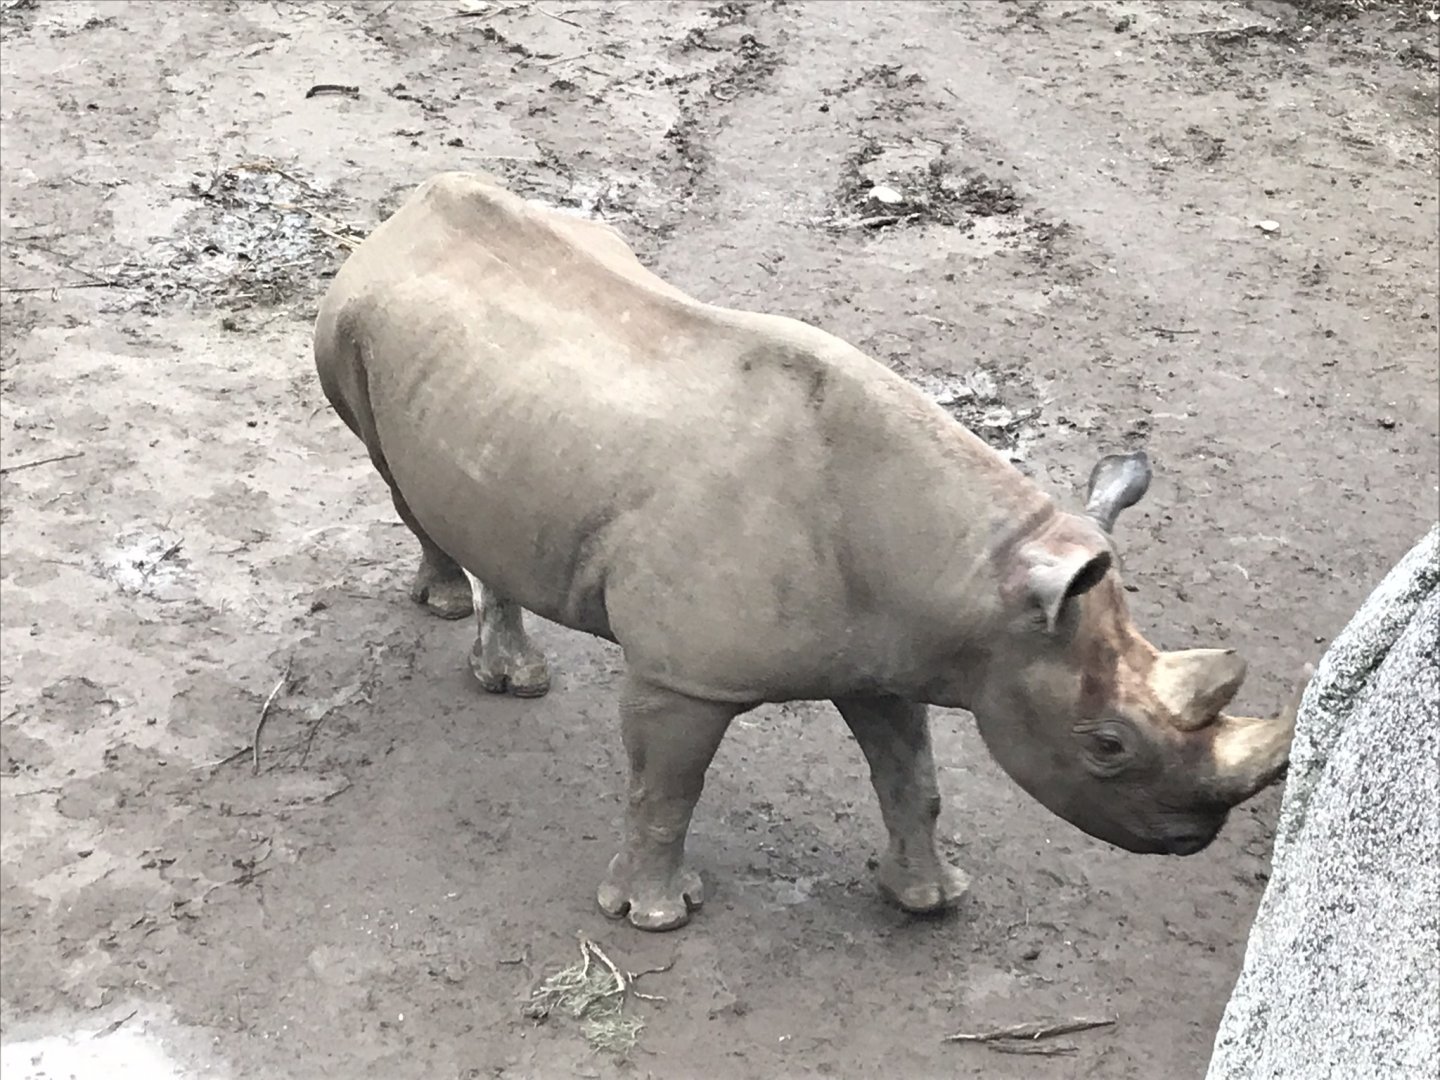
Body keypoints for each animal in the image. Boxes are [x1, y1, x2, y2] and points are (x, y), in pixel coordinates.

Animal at [313, 172, 1294, 932]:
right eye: (1107, 747)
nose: (1190, 838)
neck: (981, 580)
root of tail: (409, 212)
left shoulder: (892, 652)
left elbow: (912, 778)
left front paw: (929, 901)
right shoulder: (685, 675)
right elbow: (666, 791)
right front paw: (654, 918)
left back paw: (506, 670)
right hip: (351, 322)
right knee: (394, 474)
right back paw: (447, 610)